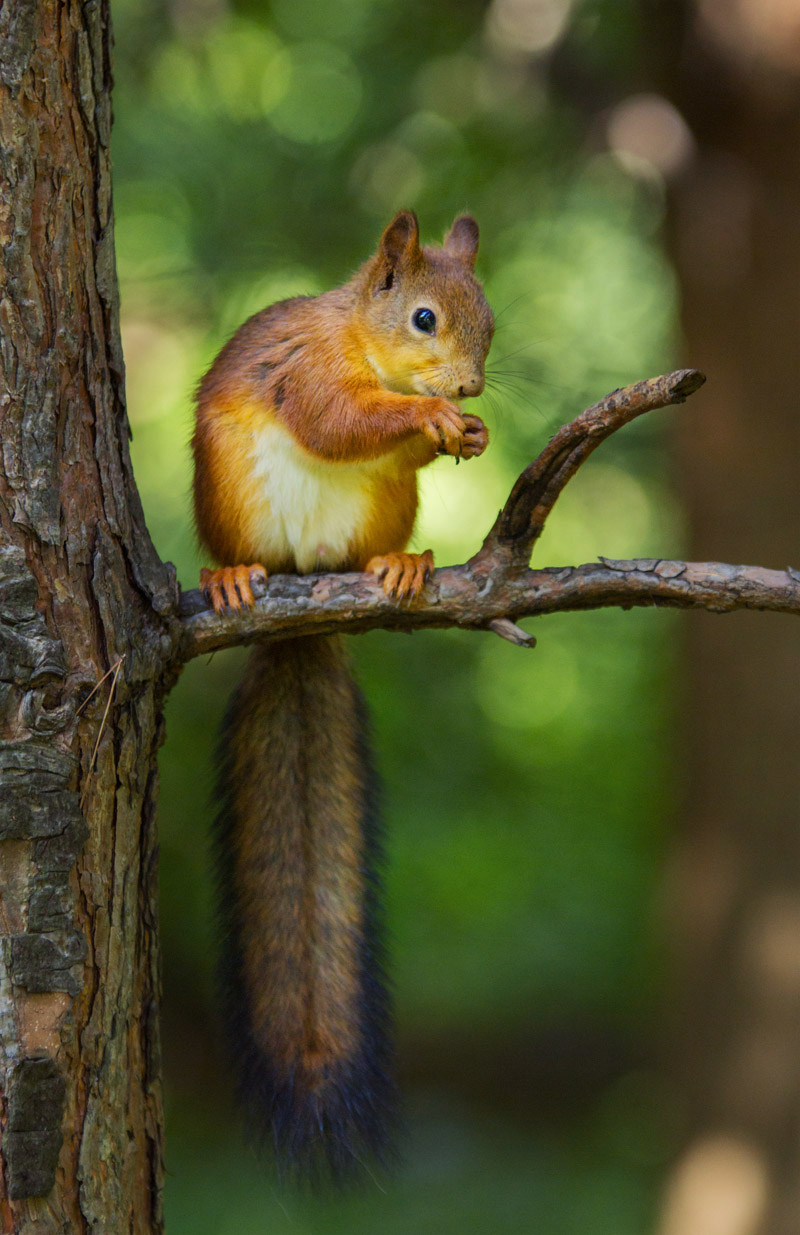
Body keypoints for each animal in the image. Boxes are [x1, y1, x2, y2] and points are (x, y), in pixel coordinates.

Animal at [192, 209, 493, 1175]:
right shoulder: (312, 374)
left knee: (374, 537)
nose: (472, 386)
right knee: (251, 550)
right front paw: (433, 414)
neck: (363, 340)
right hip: (233, 495)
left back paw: (402, 564)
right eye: (426, 318)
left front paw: (466, 431)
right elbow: (336, 421)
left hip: (382, 506)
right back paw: (231, 576)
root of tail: (304, 604)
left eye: (490, 319)